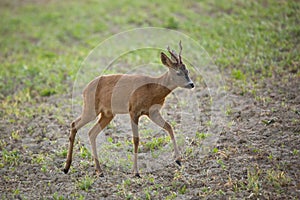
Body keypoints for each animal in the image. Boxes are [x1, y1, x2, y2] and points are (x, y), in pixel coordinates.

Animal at [63, 41, 195, 177]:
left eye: (187, 71)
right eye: (178, 72)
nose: (191, 84)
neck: (153, 89)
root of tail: (85, 89)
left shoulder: (152, 112)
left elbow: (169, 127)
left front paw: (179, 160)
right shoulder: (133, 110)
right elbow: (136, 139)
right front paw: (136, 172)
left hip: (107, 114)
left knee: (91, 132)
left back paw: (98, 170)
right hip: (91, 108)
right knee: (74, 124)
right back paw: (67, 167)